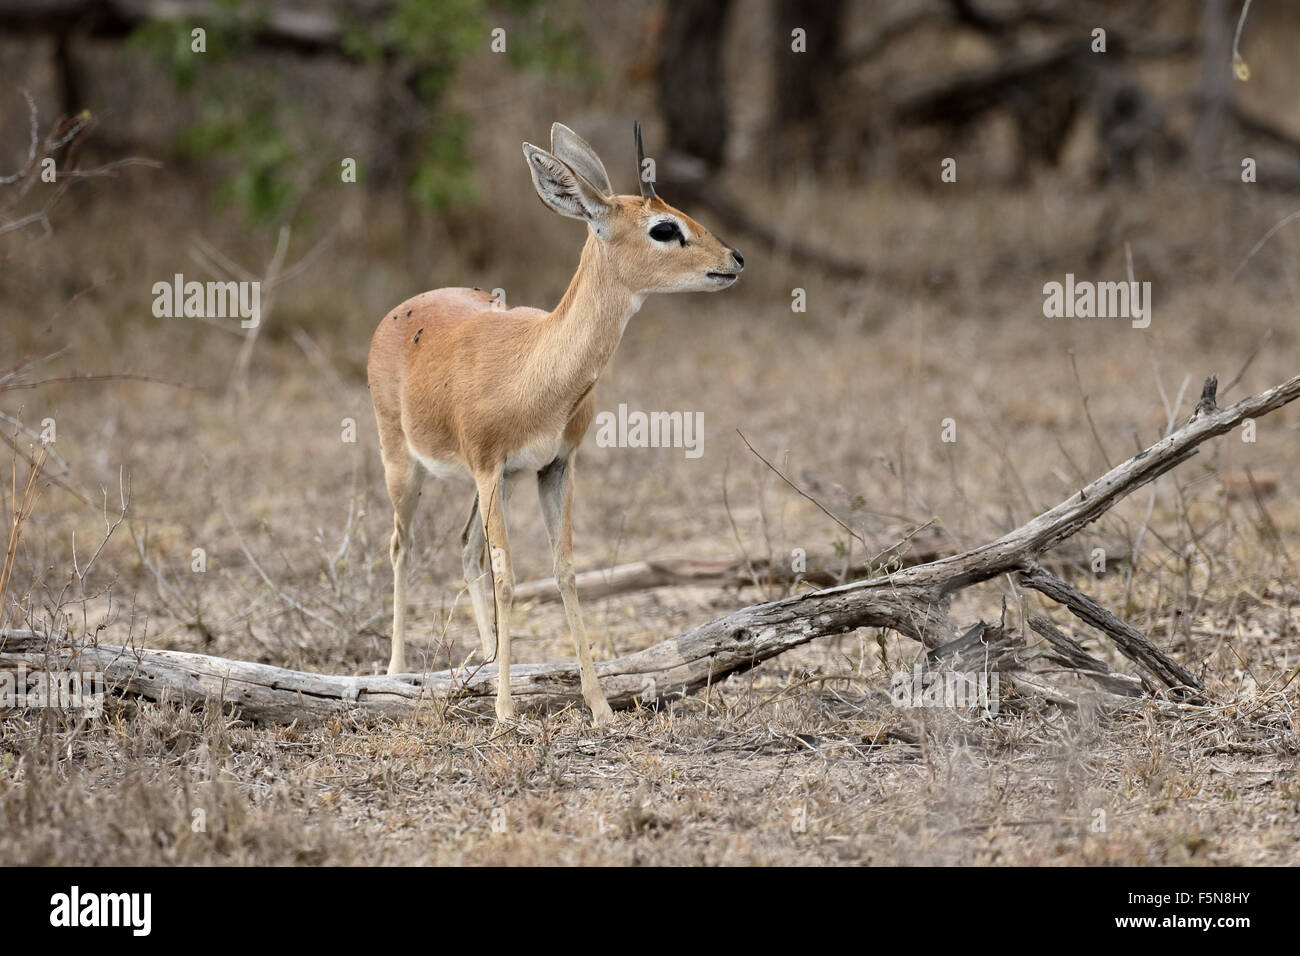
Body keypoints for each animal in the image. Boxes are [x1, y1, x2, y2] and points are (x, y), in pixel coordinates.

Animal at [371, 123, 748, 723]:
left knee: (465, 548)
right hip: (406, 467)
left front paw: (599, 707)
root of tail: (399, 312)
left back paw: (487, 663)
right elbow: (508, 579)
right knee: (401, 546)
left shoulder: (553, 467)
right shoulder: (489, 467)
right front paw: (506, 714)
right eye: (664, 227)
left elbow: (564, 571)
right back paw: (395, 672)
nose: (734, 258)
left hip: (492, 484)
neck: (535, 362)